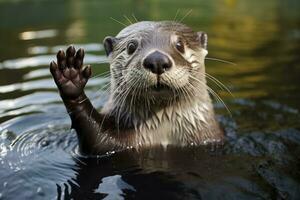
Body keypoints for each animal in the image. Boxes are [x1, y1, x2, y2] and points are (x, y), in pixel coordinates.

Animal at [49, 20, 223, 155]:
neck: (163, 132)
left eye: (180, 44)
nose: (157, 60)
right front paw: (71, 76)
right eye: (131, 46)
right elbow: (95, 139)